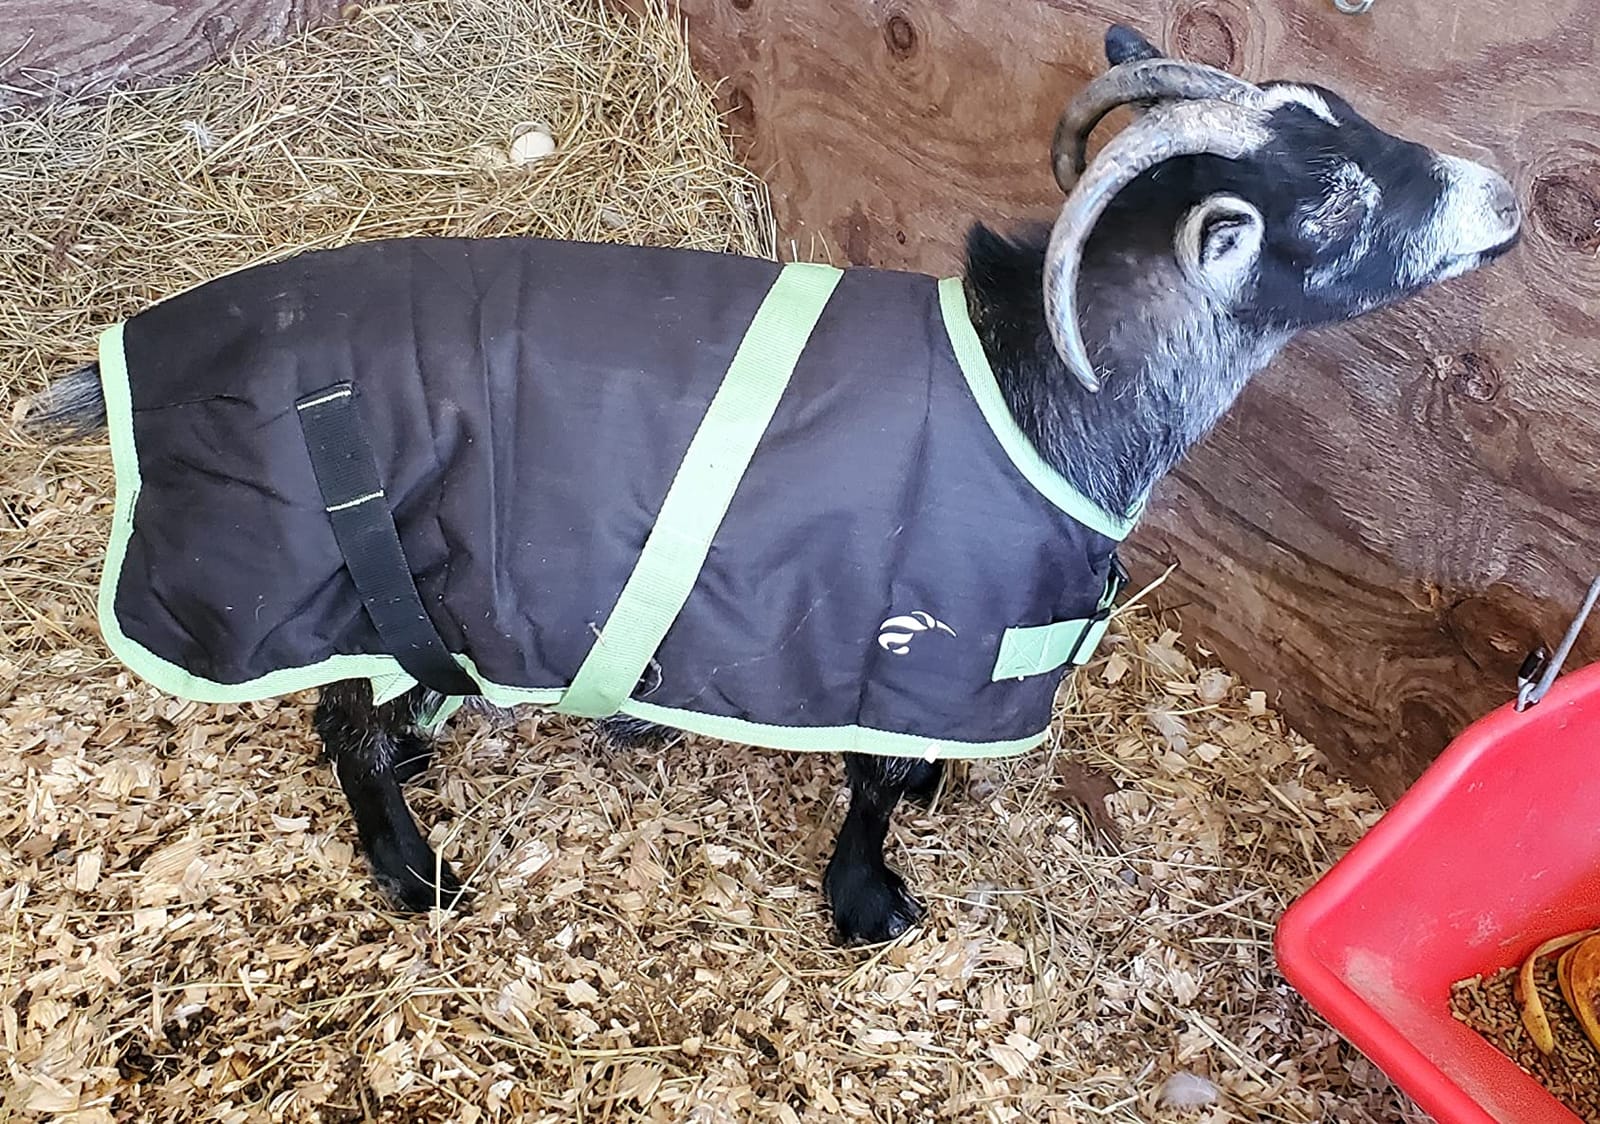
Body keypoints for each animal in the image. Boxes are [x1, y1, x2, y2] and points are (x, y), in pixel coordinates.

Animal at [23, 23, 1520, 945]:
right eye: (1330, 199)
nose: (1505, 200)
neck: (1042, 386)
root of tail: (136, 358)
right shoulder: (907, 628)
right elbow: (868, 777)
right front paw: (871, 896)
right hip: (321, 577)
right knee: (335, 724)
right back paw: (412, 864)